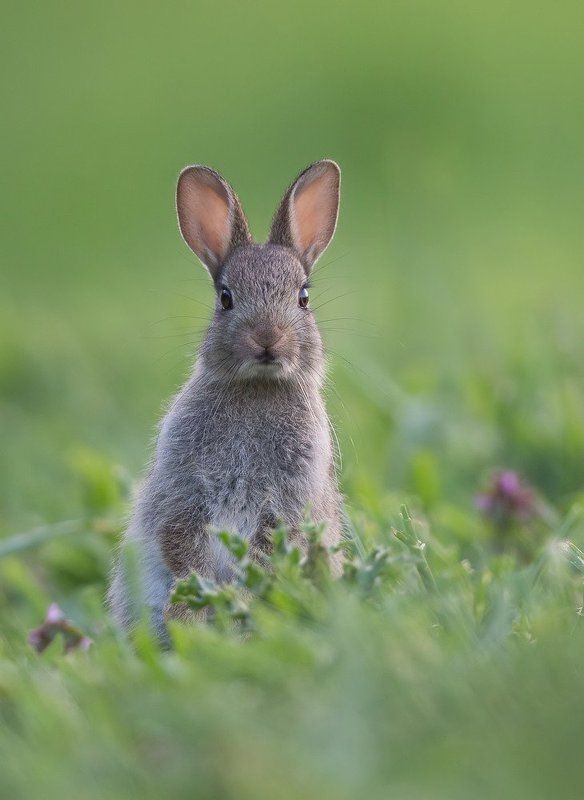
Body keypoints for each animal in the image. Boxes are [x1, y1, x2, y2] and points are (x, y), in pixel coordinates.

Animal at [108, 159, 344, 638]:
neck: (257, 387)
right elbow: (184, 548)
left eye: (303, 298)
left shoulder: (287, 502)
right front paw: (193, 610)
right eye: (225, 298)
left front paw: (237, 602)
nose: (268, 340)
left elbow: (266, 553)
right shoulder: (184, 493)